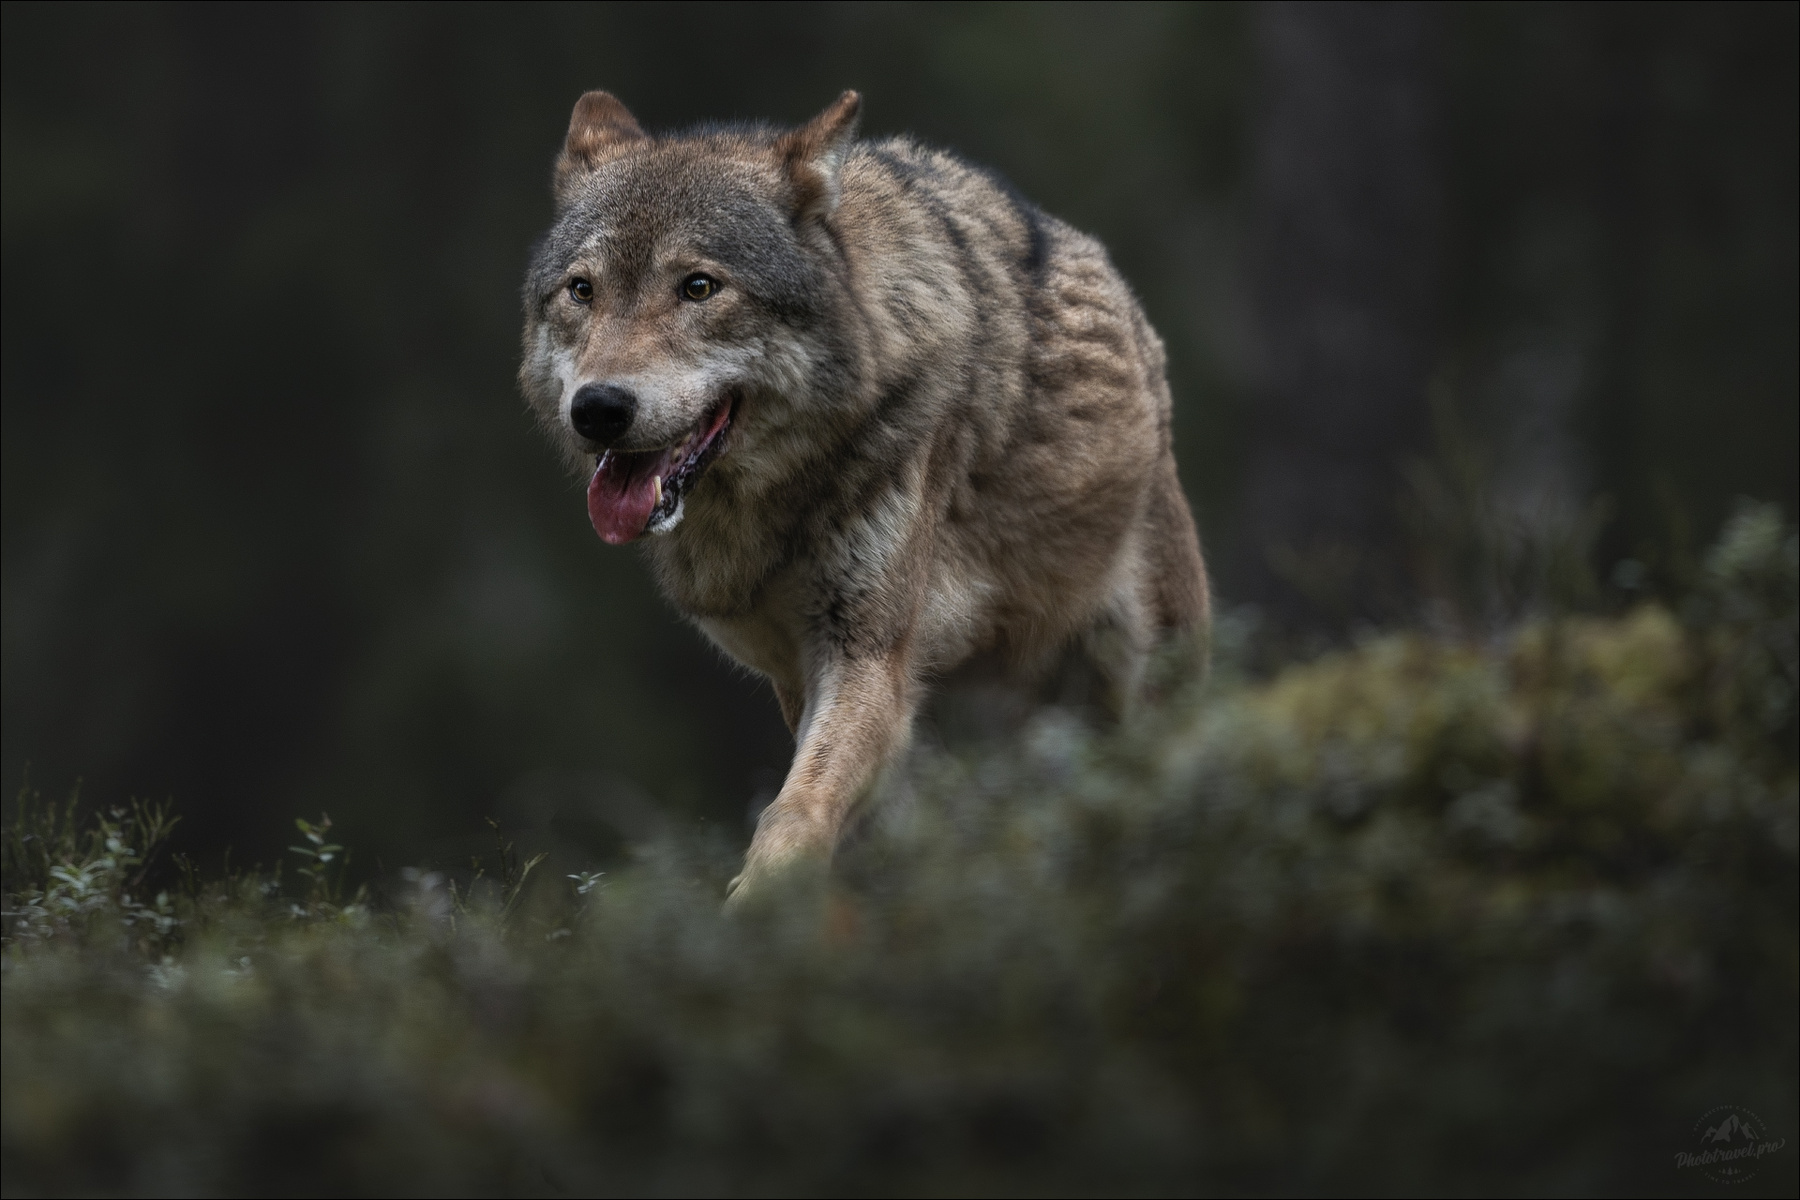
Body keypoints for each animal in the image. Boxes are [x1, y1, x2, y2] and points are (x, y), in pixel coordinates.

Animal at [519, 90, 1209, 905]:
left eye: (699, 287)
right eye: (582, 290)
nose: (598, 408)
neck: (776, 511)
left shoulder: (868, 657)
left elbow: (794, 809)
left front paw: (752, 910)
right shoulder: (800, 675)